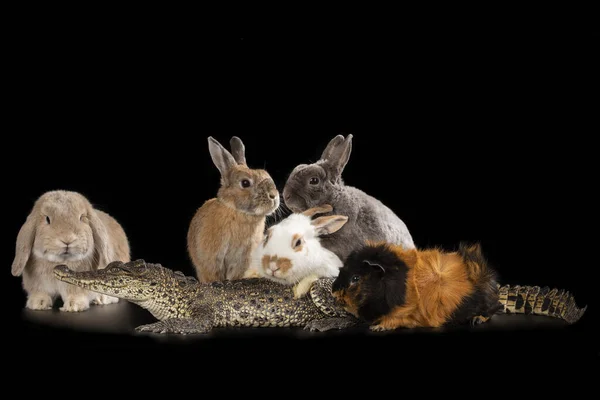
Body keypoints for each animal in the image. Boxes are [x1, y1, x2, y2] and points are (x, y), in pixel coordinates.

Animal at [186, 136, 280, 282]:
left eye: (266, 174)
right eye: (245, 183)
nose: (274, 196)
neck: (238, 212)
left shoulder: (244, 258)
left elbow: (236, 274)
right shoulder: (213, 257)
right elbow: (214, 273)